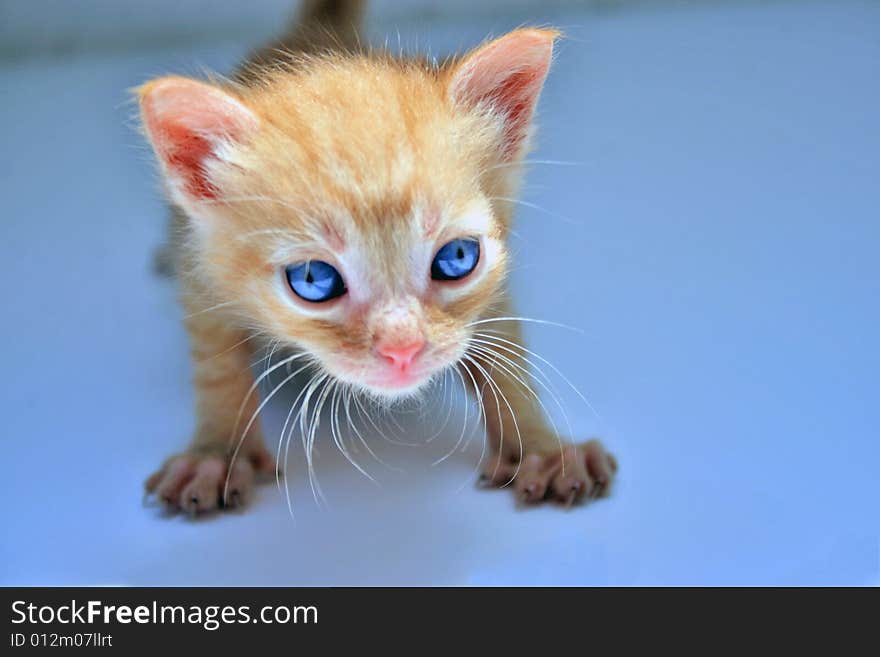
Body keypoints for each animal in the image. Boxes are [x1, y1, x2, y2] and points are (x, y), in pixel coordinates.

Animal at [139, 0, 620, 512]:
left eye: (457, 257)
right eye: (313, 280)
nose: (402, 350)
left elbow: (504, 351)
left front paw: (539, 448)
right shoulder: (201, 270)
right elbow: (215, 364)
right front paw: (217, 452)